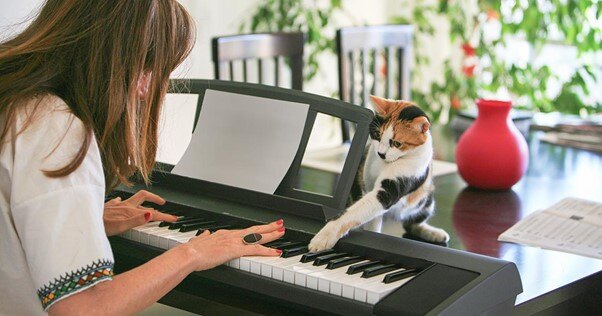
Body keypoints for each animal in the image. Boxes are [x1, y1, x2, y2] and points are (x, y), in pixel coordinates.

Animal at [308, 95, 448, 252]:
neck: (385, 164)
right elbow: (368, 215)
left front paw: (323, 237)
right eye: (377, 134)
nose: (381, 153)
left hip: (426, 199)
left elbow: (358, 210)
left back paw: (435, 233)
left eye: (397, 143)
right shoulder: (366, 183)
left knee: (412, 223)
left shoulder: (398, 182)